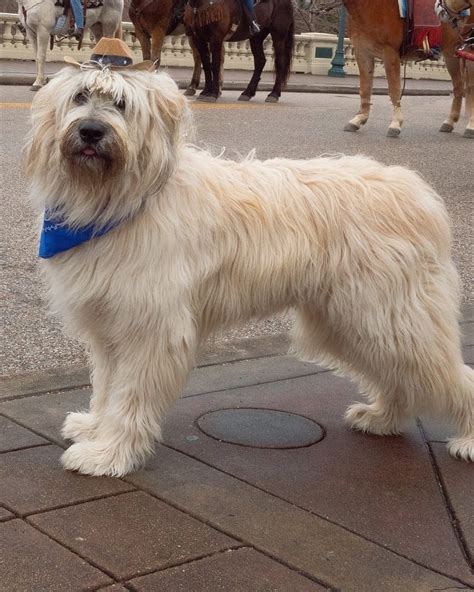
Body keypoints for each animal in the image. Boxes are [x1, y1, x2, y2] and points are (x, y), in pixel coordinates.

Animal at [26, 63, 474, 476]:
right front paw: (94, 428)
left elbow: (129, 396)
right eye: (80, 97)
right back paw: (382, 417)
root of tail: (418, 193)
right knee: (401, 378)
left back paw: (467, 439)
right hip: (352, 323)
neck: (119, 201)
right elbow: (106, 387)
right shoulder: (109, 326)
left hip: (389, 319)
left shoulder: (150, 330)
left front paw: (108, 453)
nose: (90, 131)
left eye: (121, 104)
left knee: (449, 375)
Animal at [342, 0, 472, 138]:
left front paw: (396, 123)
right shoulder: (362, 52)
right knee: (459, 88)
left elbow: (394, 89)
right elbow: (365, 88)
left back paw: (469, 126)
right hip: (451, 54)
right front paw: (359, 119)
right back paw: (450, 122)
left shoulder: (389, 52)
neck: (370, 6)